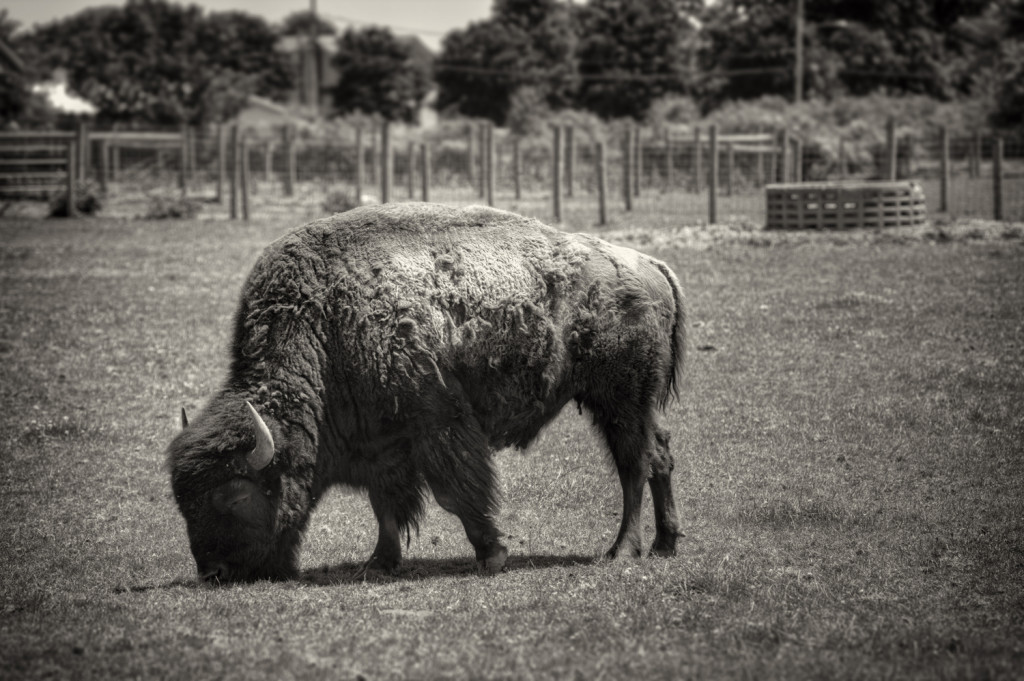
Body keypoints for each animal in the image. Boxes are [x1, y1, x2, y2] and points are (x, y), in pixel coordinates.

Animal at [167, 204, 688, 581]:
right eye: (183, 502)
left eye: (232, 496)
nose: (214, 573)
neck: (323, 322)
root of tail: (650, 264)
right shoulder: (382, 444)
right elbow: (385, 506)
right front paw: (379, 562)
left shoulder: (438, 424)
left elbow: (454, 493)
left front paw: (492, 554)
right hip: (636, 403)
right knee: (660, 455)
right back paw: (665, 544)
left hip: (620, 401)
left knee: (634, 466)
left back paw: (623, 551)